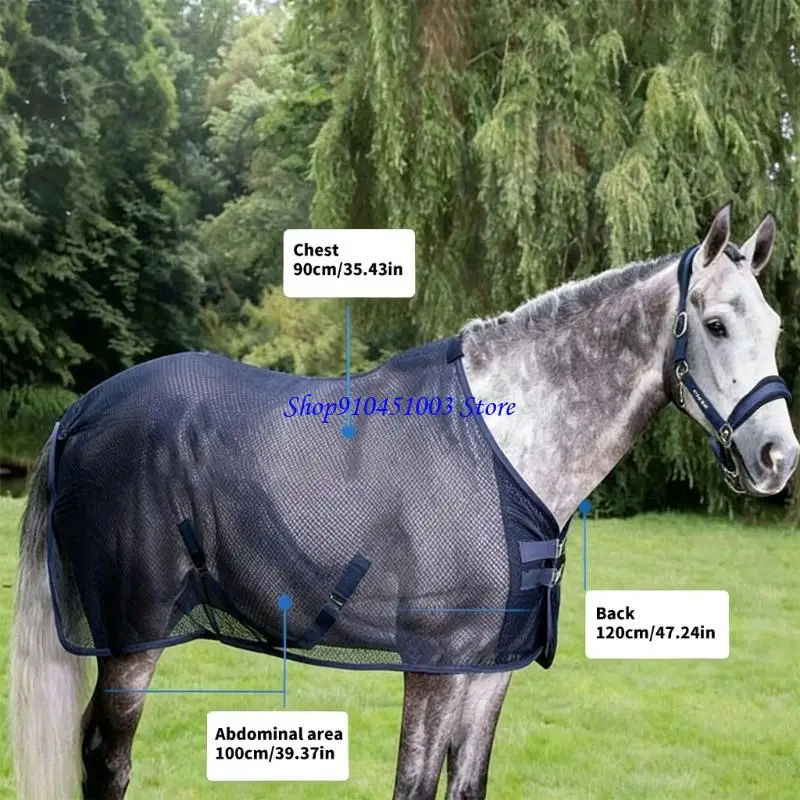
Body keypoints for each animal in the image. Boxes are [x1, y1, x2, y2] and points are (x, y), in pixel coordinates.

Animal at [11, 203, 799, 799]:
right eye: (716, 324)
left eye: (774, 328)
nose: (778, 458)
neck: (507, 441)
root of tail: (77, 414)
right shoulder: (434, 666)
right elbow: (413, 787)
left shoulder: (490, 672)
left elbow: (465, 786)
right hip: (132, 640)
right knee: (106, 761)